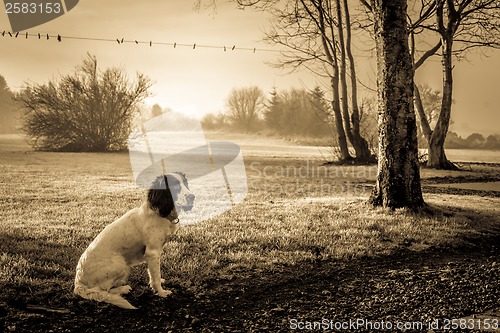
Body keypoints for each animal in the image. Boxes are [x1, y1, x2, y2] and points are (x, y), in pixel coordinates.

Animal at [74, 172, 195, 308]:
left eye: (185, 183)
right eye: (174, 185)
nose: (192, 197)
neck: (160, 214)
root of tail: (78, 284)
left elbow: (154, 274)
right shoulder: (153, 252)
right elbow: (156, 277)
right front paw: (161, 292)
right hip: (121, 264)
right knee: (103, 290)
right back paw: (123, 289)